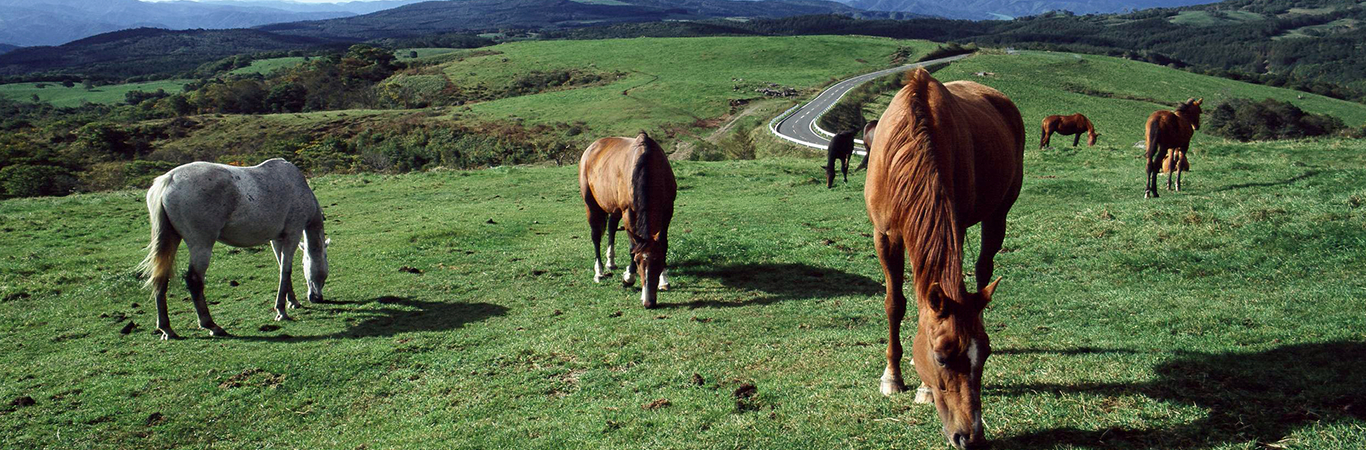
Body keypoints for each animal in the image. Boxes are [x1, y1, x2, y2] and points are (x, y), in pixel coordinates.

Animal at [136, 159, 330, 337]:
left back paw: (167, 329)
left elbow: (282, 267)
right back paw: (211, 325)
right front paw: (282, 310)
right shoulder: (292, 234)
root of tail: (170, 179)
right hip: (202, 244)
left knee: (161, 278)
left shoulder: (277, 239)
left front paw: (292, 301)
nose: (317, 298)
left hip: (170, 239)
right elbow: (286, 270)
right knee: (194, 280)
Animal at [579, 129, 680, 305]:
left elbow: (663, 242)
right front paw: (629, 277)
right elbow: (633, 246)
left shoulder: (668, 210)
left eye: (659, 261)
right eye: (638, 262)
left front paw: (664, 280)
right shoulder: (628, 213)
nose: (649, 302)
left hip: (614, 208)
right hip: (591, 205)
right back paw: (599, 272)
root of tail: (592, 147)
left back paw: (611, 262)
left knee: (612, 227)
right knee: (596, 236)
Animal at [863, 69, 1027, 448]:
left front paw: (923, 388)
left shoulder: (955, 222)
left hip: (998, 214)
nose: (971, 436)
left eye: (985, 354)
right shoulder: (884, 236)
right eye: (940, 357)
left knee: (983, 268)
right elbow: (894, 304)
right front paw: (892, 376)